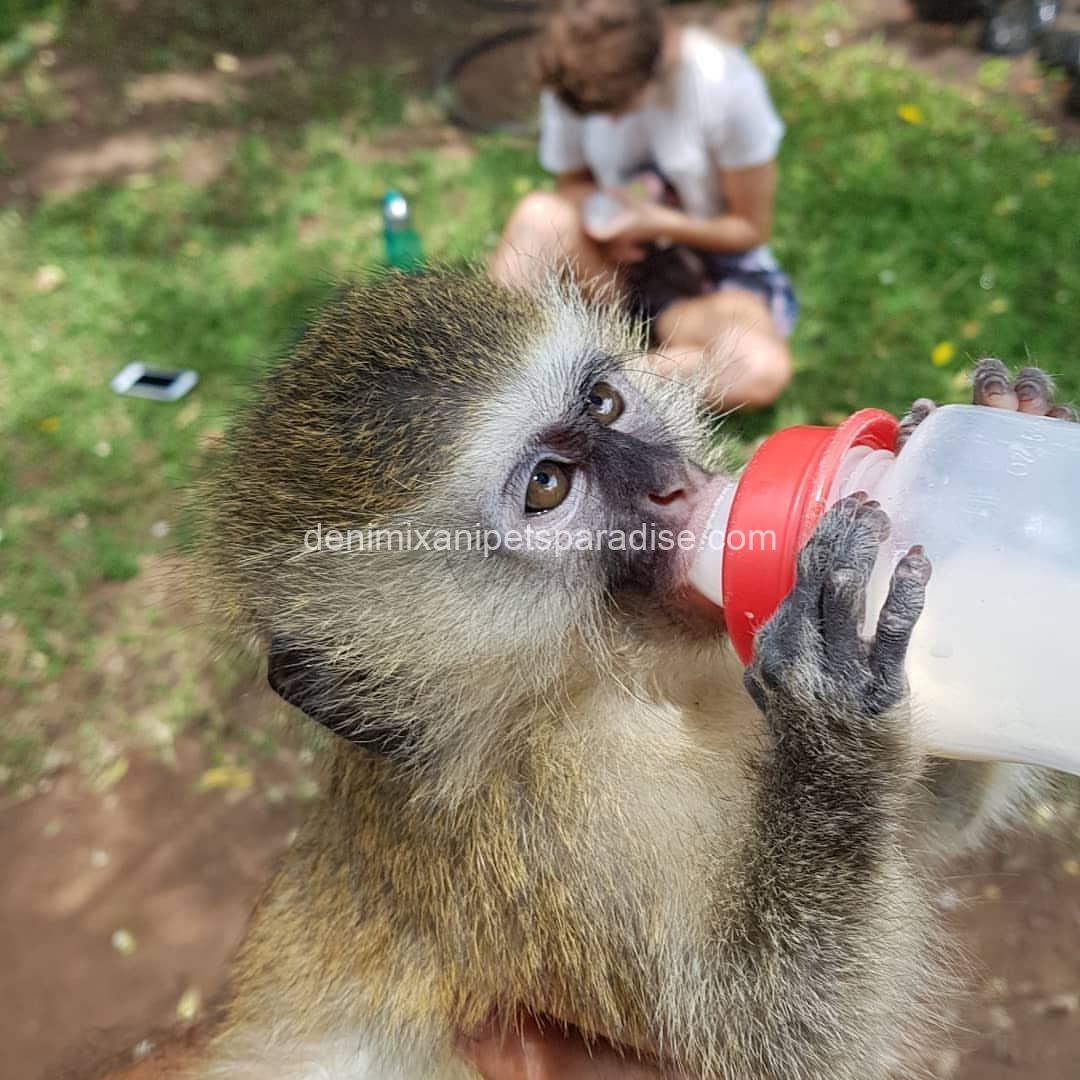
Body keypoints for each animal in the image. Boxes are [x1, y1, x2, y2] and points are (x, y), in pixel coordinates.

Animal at [184, 269, 1066, 1080]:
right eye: (547, 486)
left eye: (605, 403)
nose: (672, 484)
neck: (606, 687)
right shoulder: (541, 825)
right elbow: (767, 1035)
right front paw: (834, 724)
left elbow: (922, 822)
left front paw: (1017, 429)